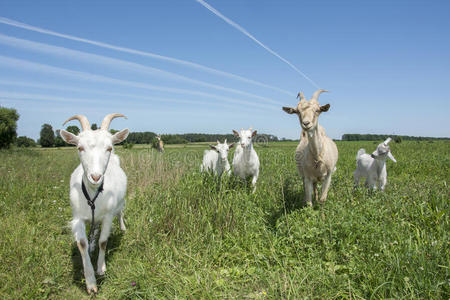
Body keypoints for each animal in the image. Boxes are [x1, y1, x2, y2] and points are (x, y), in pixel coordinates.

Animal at [59, 113, 128, 294]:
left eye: (109, 148)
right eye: (80, 148)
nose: (95, 177)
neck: (93, 194)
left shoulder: (108, 216)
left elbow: (103, 241)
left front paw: (101, 268)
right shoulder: (77, 217)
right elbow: (81, 244)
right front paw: (90, 283)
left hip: (120, 203)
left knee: (120, 212)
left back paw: (123, 227)